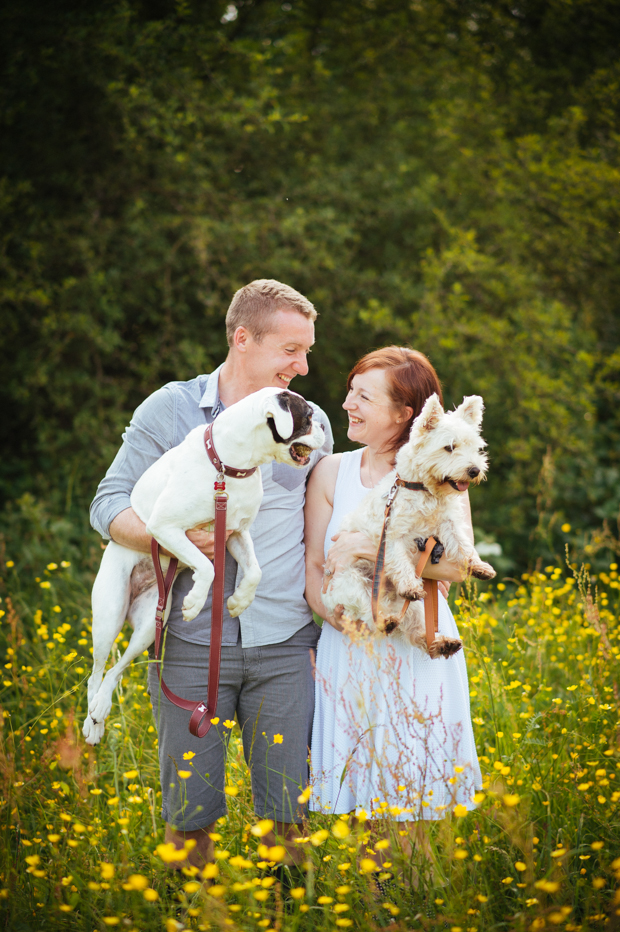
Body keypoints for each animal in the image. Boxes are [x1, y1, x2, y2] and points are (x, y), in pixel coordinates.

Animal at [322, 394, 496, 656]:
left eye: (475, 448)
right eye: (450, 447)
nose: (474, 470)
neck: (424, 489)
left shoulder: (448, 524)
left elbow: (463, 545)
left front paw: (478, 566)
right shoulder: (393, 533)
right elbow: (401, 562)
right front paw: (409, 586)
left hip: (412, 609)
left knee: (416, 629)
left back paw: (444, 643)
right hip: (354, 582)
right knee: (371, 615)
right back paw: (387, 620)